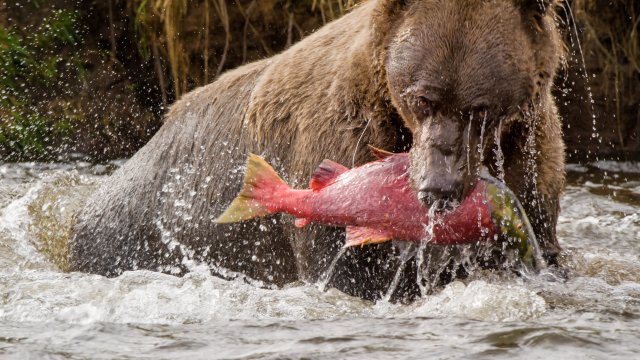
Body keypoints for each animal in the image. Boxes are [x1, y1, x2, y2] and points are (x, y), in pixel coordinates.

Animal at [67, 0, 564, 300]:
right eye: (422, 98)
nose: (437, 189)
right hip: (139, 236)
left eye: (478, 108)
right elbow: (348, 269)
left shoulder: (529, 156)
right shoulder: (338, 140)